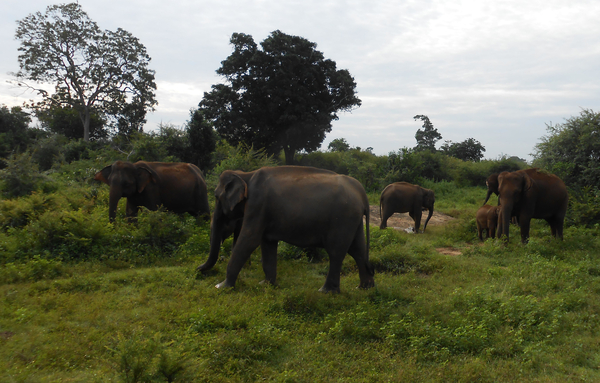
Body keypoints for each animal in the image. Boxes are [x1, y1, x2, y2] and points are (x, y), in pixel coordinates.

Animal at [198, 166, 376, 294]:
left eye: (216, 196)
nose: (198, 270)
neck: (245, 174)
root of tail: (362, 194)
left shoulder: (257, 205)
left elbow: (249, 239)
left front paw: (221, 287)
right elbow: (267, 243)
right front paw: (266, 285)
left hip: (342, 219)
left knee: (336, 252)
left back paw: (326, 292)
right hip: (353, 220)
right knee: (357, 250)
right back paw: (364, 288)